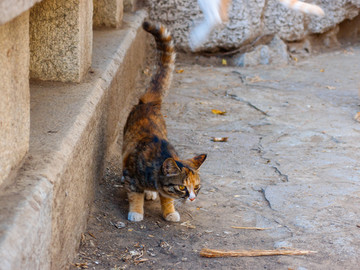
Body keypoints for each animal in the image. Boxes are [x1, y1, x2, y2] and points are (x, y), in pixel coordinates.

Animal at [122, 21, 207, 223]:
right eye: (182, 187)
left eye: (196, 187)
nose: (192, 198)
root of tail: (150, 103)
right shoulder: (131, 176)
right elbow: (135, 195)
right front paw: (136, 212)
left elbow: (167, 198)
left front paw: (169, 212)